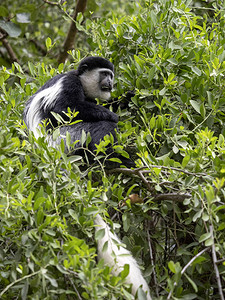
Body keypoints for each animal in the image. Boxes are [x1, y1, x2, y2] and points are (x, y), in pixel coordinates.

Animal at [23, 56, 151, 300]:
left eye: (111, 75)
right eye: (104, 74)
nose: (110, 82)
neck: (82, 82)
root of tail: (46, 152)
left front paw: (125, 100)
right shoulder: (69, 84)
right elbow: (64, 109)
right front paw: (112, 114)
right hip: (64, 139)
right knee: (97, 127)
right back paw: (116, 159)